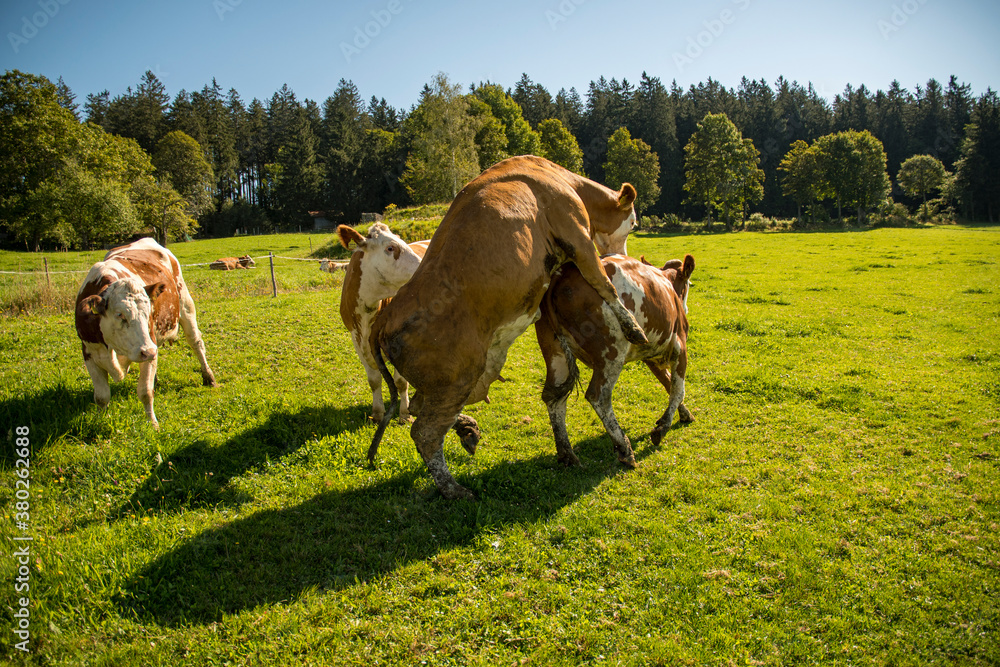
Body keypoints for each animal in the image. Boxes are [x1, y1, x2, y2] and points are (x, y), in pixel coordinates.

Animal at [75, 240, 220, 428]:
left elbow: (145, 392)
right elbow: (101, 396)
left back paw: (208, 377)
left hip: (185, 307)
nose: (149, 351)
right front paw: (100, 420)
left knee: (196, 343)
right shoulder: (90, 353)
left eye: (148, 312)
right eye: (120, 315)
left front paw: (152, 424)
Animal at [336, 222, 430, 426]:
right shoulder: (357, 340)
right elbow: (374, 380)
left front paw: (404, 414)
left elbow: (401, 382)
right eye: (390, 248)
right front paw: (378, 413)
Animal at [374, 154, 648, 498]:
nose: (622, 256)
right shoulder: (577, 236)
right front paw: (633, 327)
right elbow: (603, 283)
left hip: (446, 381)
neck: (560, 180)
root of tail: (387, 316)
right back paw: (454, 489)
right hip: (457, 377)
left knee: (420, 410)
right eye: (633, 224)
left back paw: (467, 429)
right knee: (425, 432)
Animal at [540, 253, 696, 468]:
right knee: (598, 396)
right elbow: (678, 390)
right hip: (611, 353)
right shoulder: (680, 346)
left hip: (556, 353)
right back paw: (624, 448)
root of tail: (561, 274)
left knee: (553, 398)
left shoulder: (651, 356)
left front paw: (684, 414)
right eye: (689, 284)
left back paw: (567, 454)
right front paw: (663, 428)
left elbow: (667, 383)